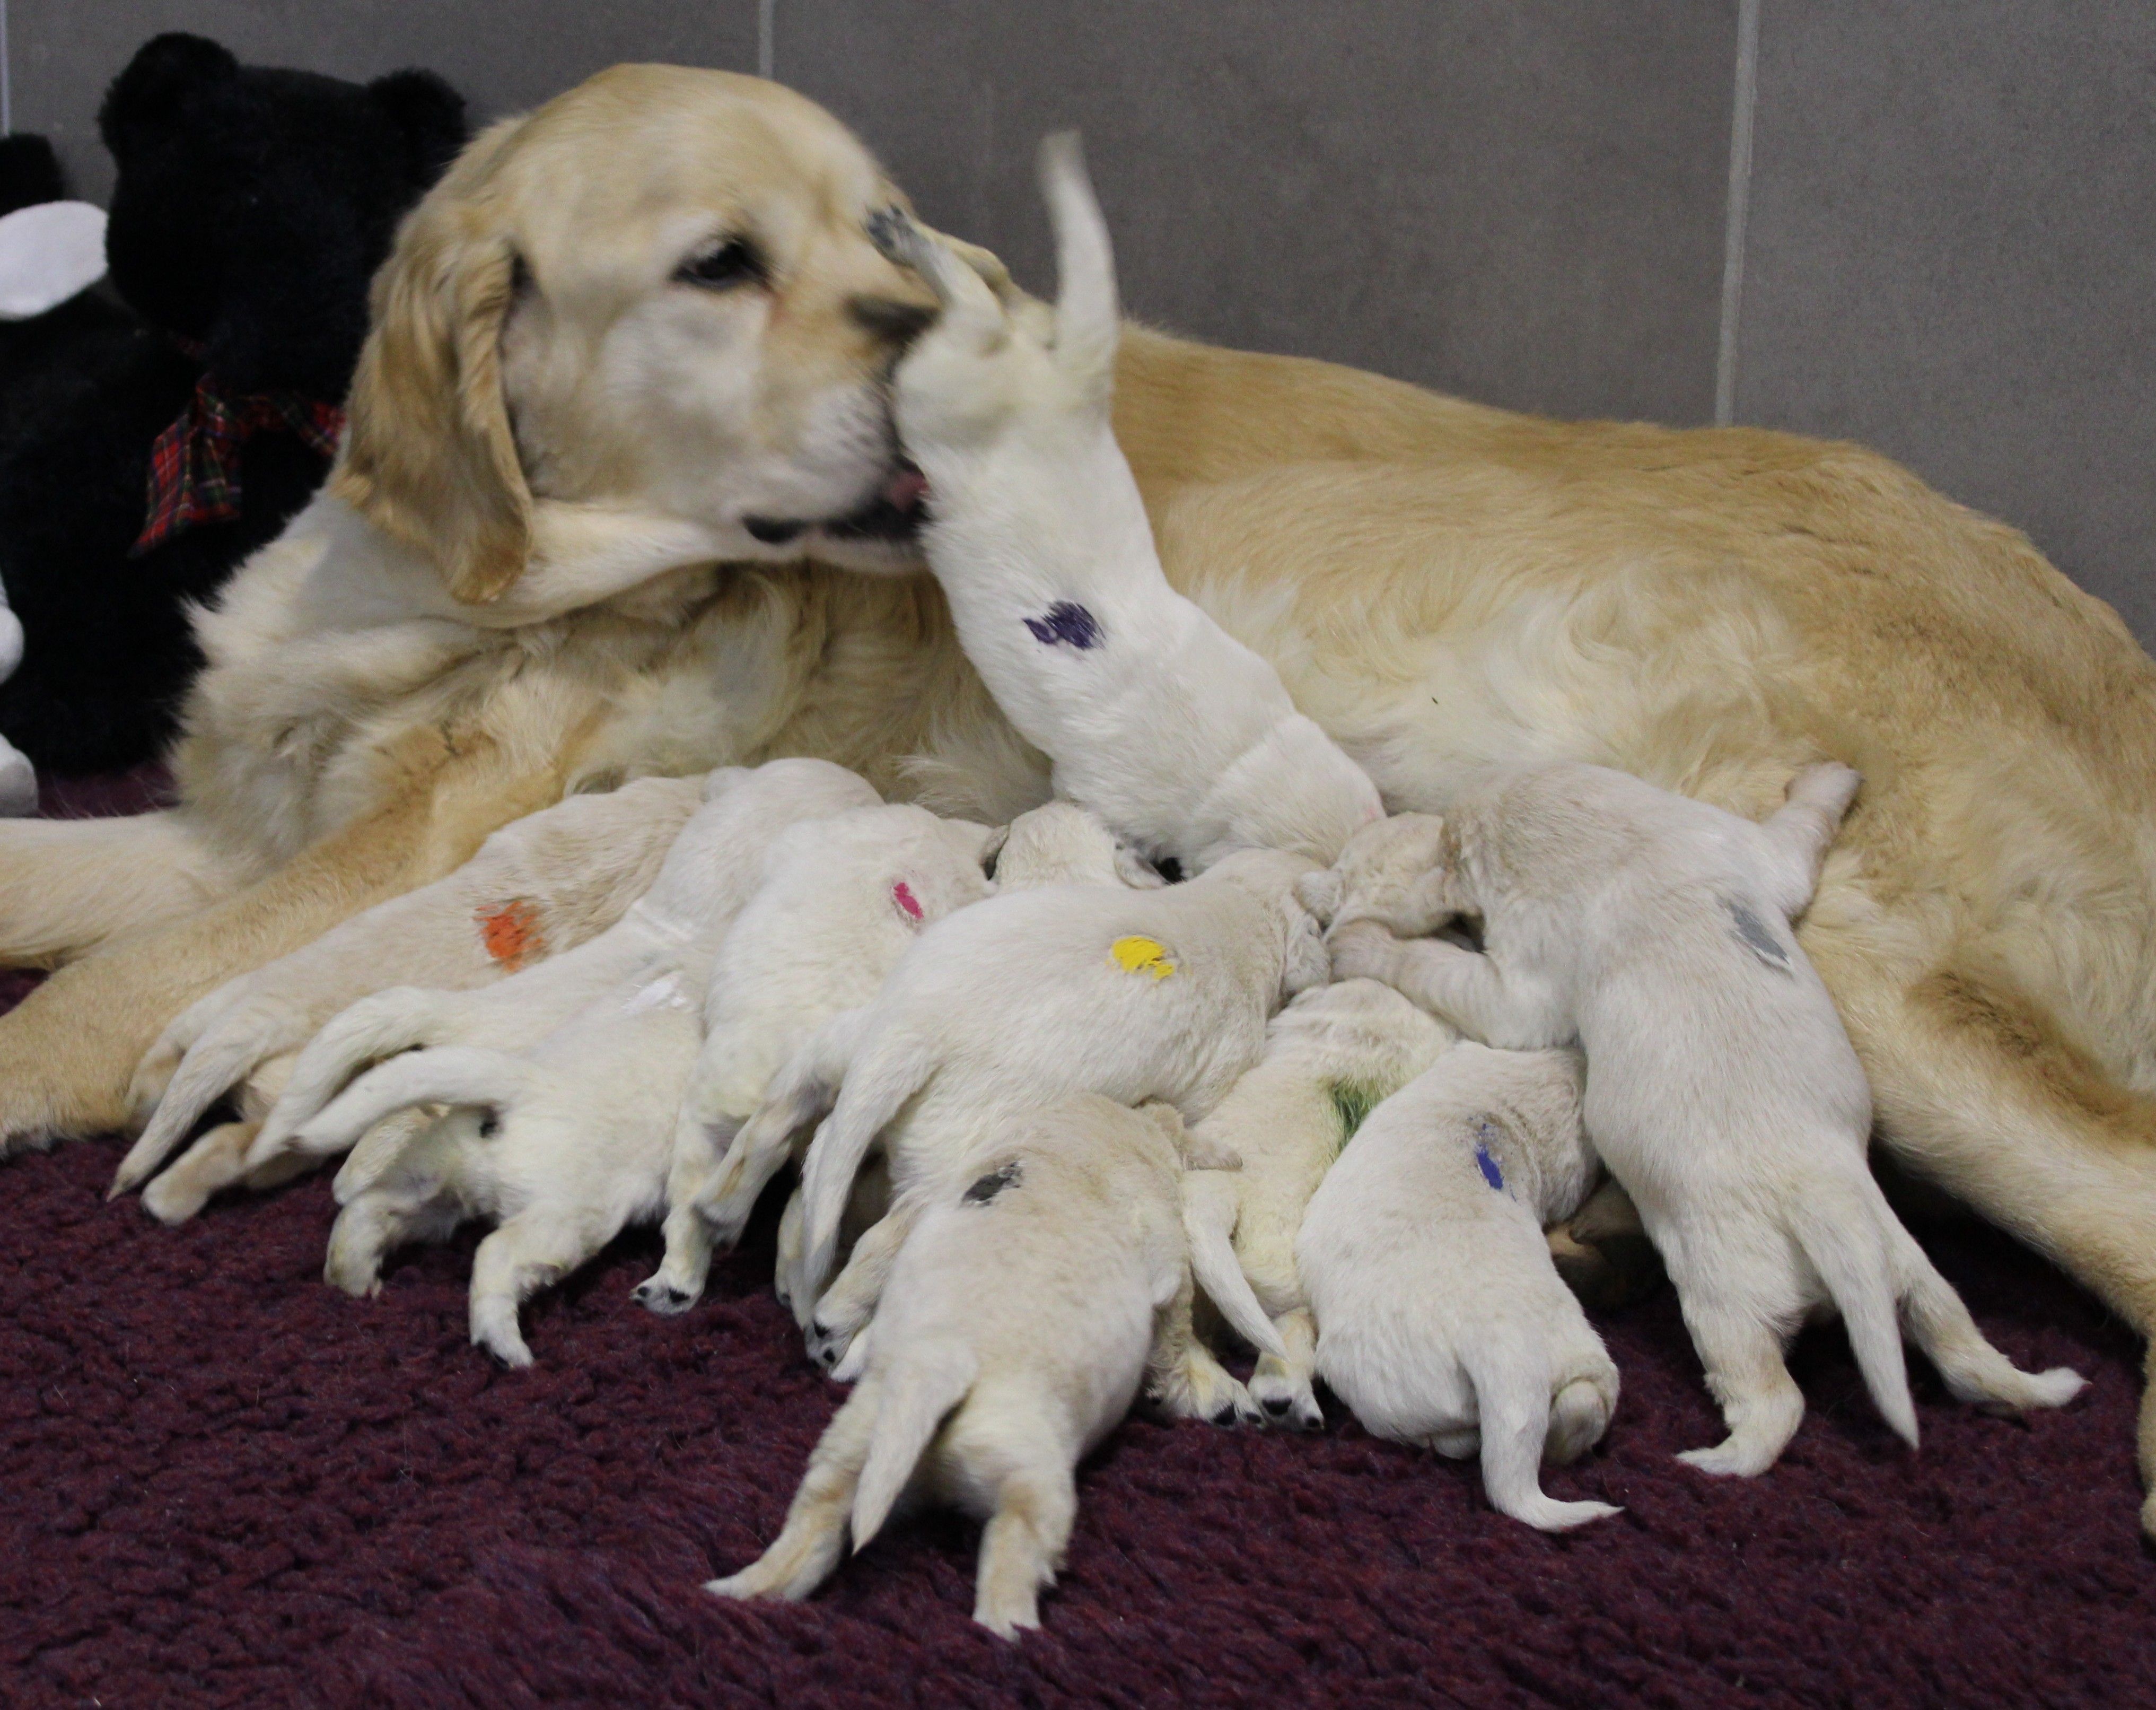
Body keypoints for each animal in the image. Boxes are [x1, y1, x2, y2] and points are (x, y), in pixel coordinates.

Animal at [708, 1095, 1198, 1638]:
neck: (1078, 1143)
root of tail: (936, 1370)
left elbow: (877, 1250)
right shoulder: (1164, 1244)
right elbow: (1176, 1314)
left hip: (856, 1442)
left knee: (815, 1522)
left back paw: (743, 1591)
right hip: (1028, 1470)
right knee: (1013, 1550)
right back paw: (1013, 1633)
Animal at [867, 138, 1381, 872]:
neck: (1240, 760)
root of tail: (1069, 389)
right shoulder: (1099, 791)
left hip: (992, 358)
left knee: (1001, 298)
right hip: (937, 387)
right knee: (970, 311)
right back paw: (905, 239)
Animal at [1293, 1041, 1621, 1531]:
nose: (1581, 1054)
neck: (1495, 1112)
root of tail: (1505, 1349)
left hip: (1375, 1385)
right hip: (1580, 1357)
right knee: (1579, 1406)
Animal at [1320, 769, 2086, 1474]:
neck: (1616, 840)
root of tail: (1825, 1209)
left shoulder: (1525, 972)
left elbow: (1459, 978)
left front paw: (1363, 943)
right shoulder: (1737, 842)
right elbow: (1794, 838)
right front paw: (1831, 778)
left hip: (1727, 1300)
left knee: (1774, 1398)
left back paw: (1715, 1460)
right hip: (1909, 1266)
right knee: (1956, 1341)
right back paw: (2037, 1386)